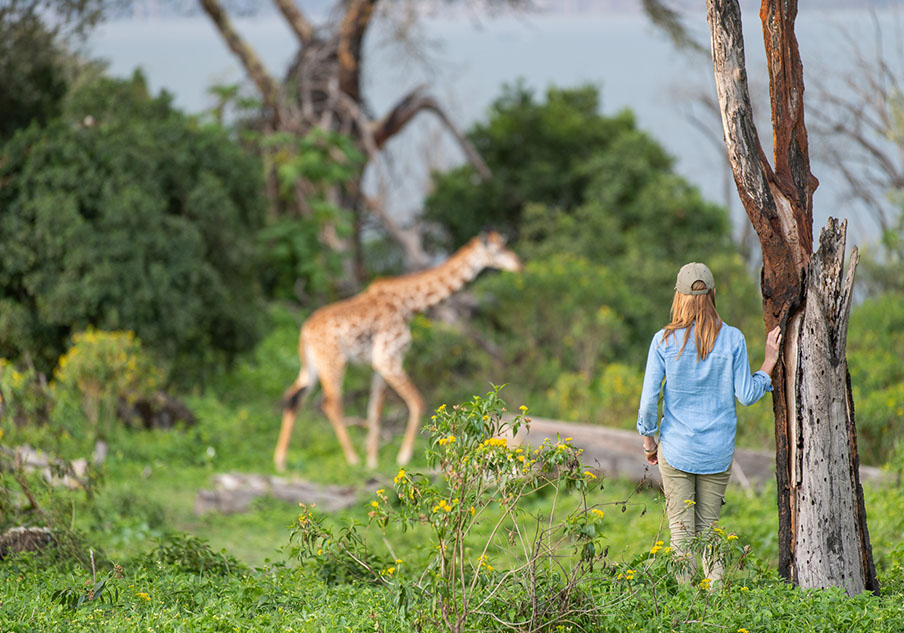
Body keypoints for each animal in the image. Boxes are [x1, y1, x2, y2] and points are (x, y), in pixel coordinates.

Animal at [272, 232, 520, 470]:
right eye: (499, 249)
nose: (518, 264)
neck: (408, 304)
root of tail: (304, 332)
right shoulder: (388, 357)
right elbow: (417, 402)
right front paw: (402, 457)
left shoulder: (379, 363)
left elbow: (375, 412)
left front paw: (372, 462)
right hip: (334, 360)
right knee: (330, 403)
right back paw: (351, 459)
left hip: (312, 365)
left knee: (293, 396)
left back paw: (280, 461)